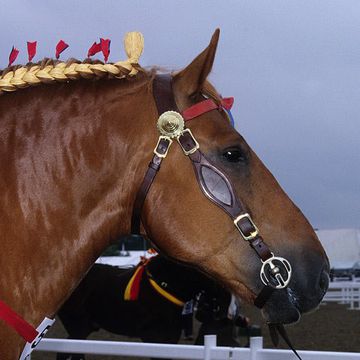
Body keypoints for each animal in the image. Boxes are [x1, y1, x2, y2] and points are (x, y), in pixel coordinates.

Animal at [55, 256, 248, 360]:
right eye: (218, 277)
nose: (228, 311)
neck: (166, 285)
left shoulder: (171, 337)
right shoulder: (153, 336)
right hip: (78, 326)